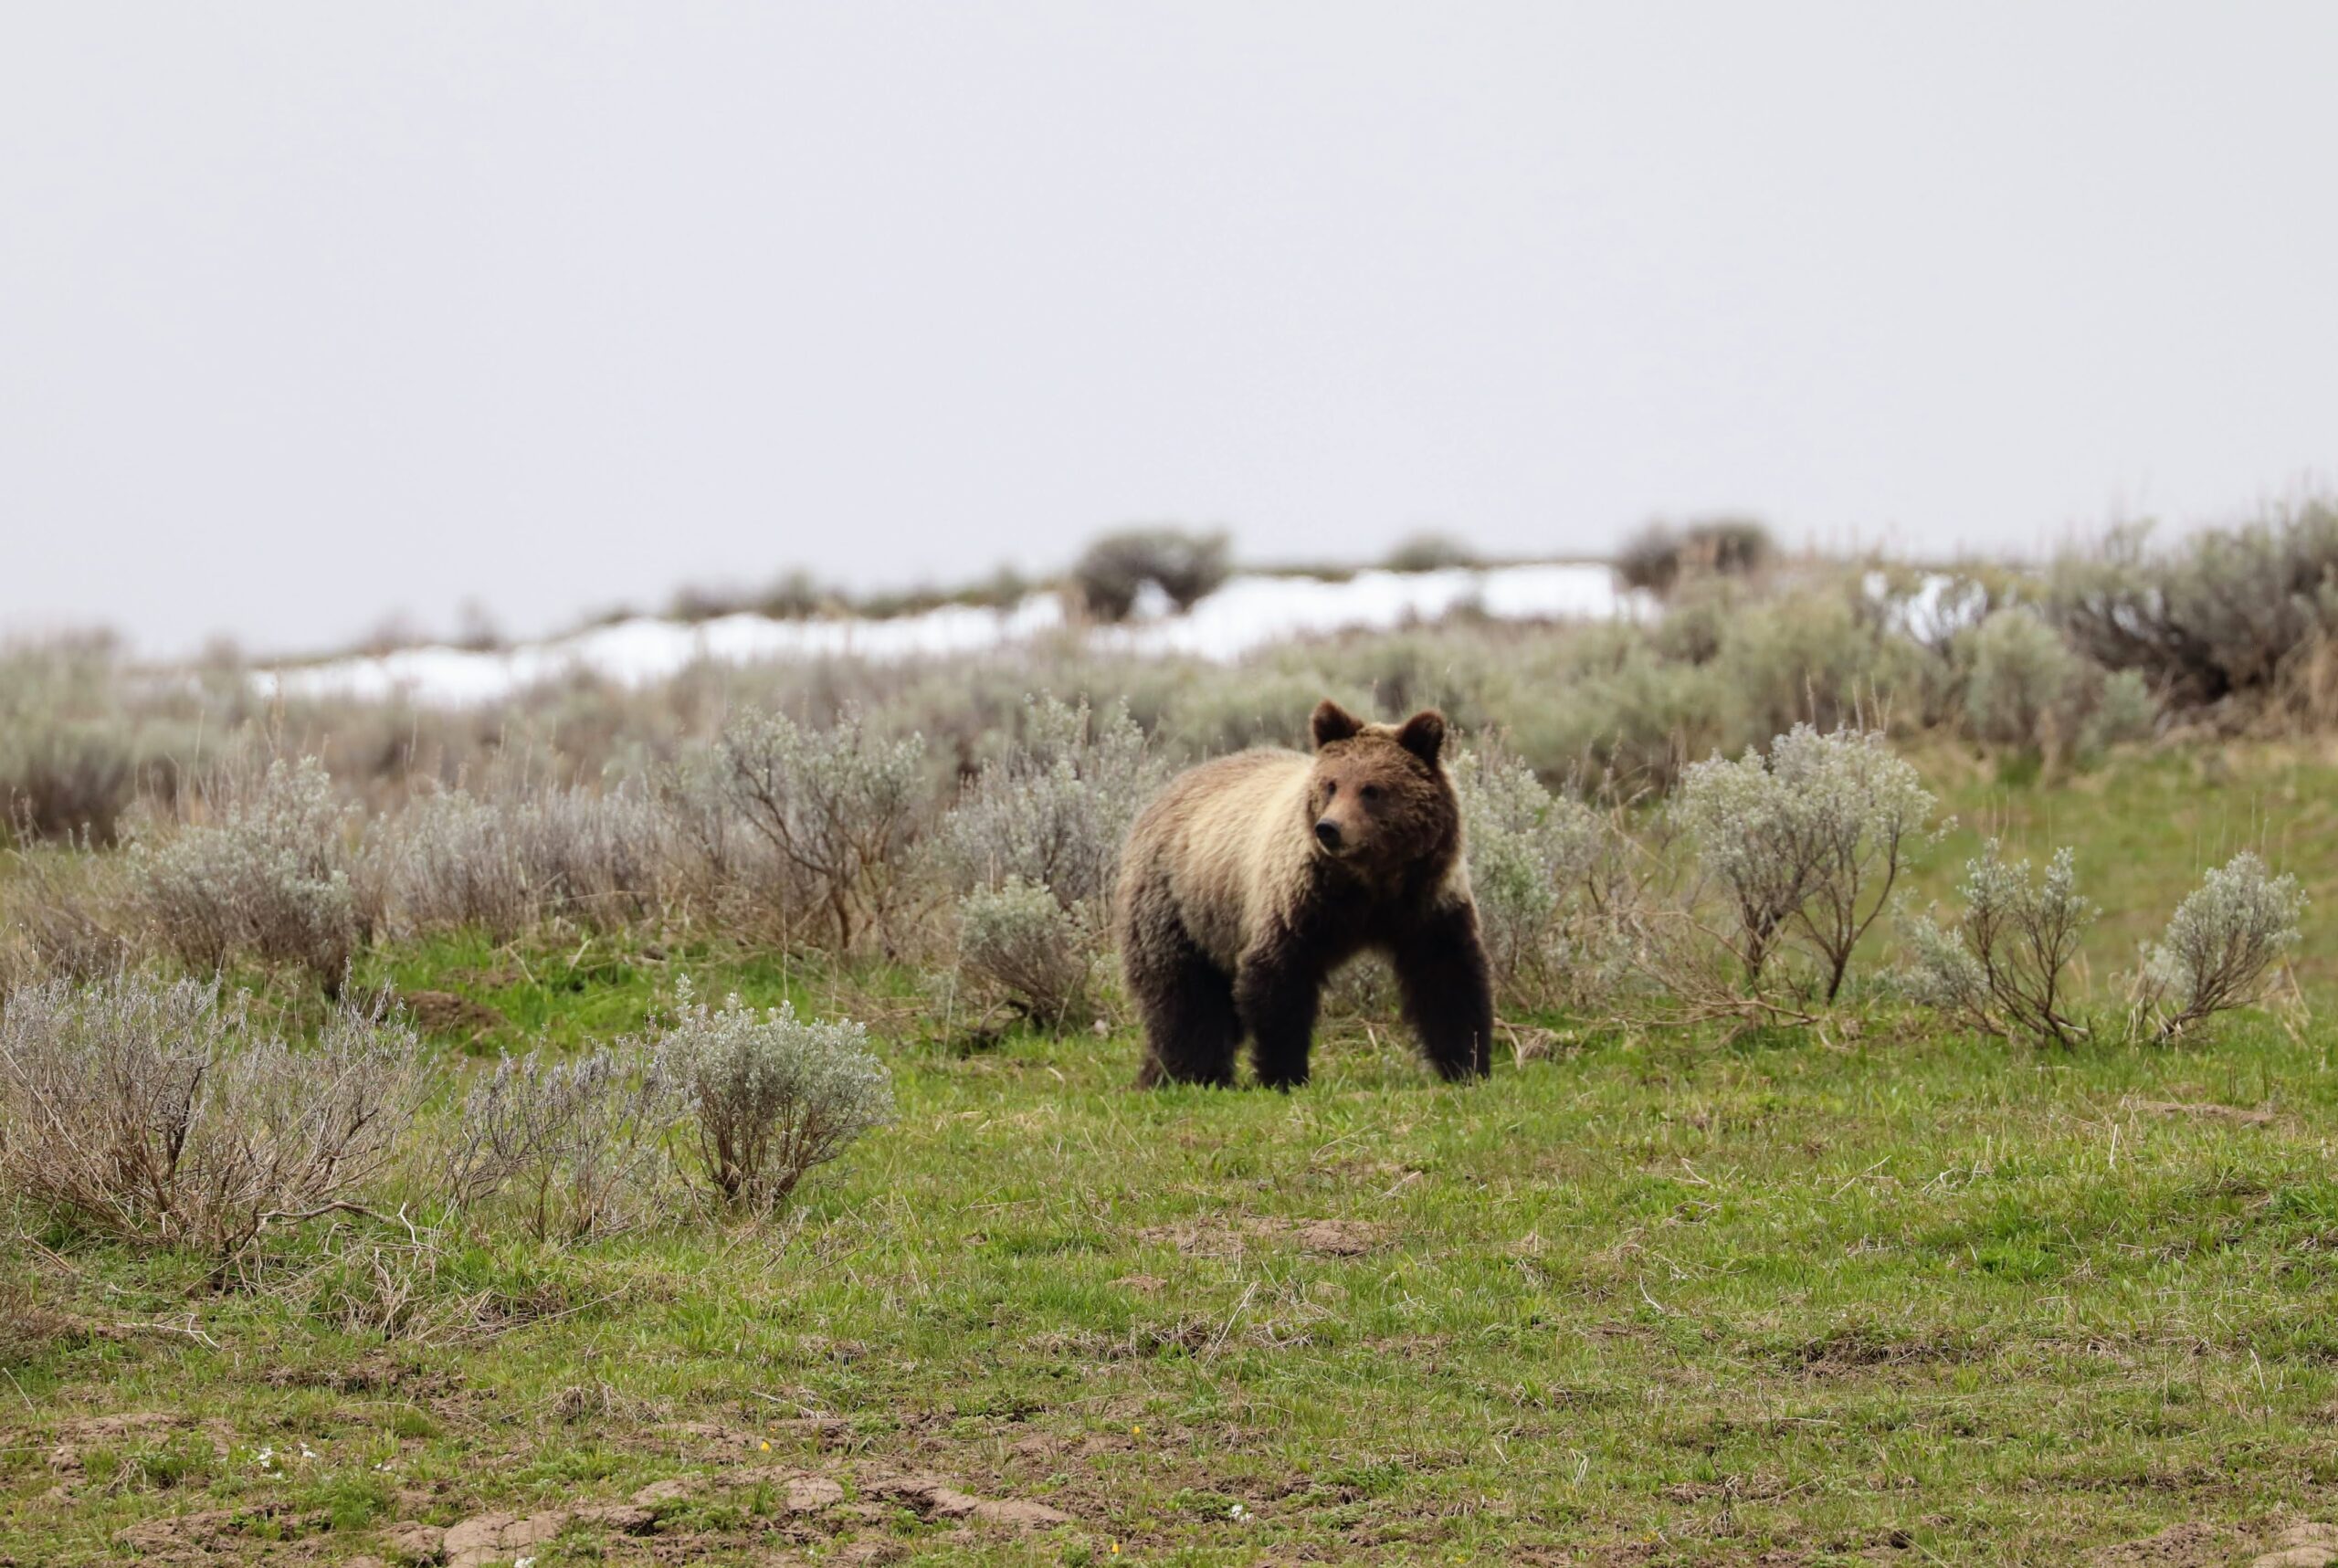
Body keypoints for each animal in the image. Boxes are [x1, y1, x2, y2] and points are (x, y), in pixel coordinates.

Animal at [1116, 698, 1495, 1089]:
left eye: (1371, 789)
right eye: (1331, 784)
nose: (1329, 828)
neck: (1370, 881)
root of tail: (1163, 795)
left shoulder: (1425, 901)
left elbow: (1448, 975)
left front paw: (1467, 1065)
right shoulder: (1299, 900)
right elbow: (1279, 978)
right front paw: (1284, 1074)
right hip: (1178, 906)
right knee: (1185, 996)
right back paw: (1191, 1073)